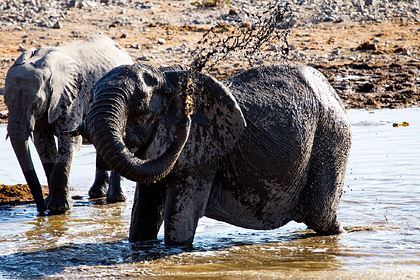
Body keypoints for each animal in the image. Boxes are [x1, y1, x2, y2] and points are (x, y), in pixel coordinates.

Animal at [3, 35, 134, 214]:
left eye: (36, 104)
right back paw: (96, 194)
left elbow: (69, 143)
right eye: (5, 102)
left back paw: (116, 199)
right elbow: (43, 145)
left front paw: (59, 209)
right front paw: (51, 206)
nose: (40, 211)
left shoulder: (72, 98)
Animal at [79, 63, 352, 245]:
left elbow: (180, 223)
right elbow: (143, 215)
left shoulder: (203, 153)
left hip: (332, 135)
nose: (185, 120)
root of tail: (330, 89)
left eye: (139, 104)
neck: (167, 78)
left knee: (320, 217)